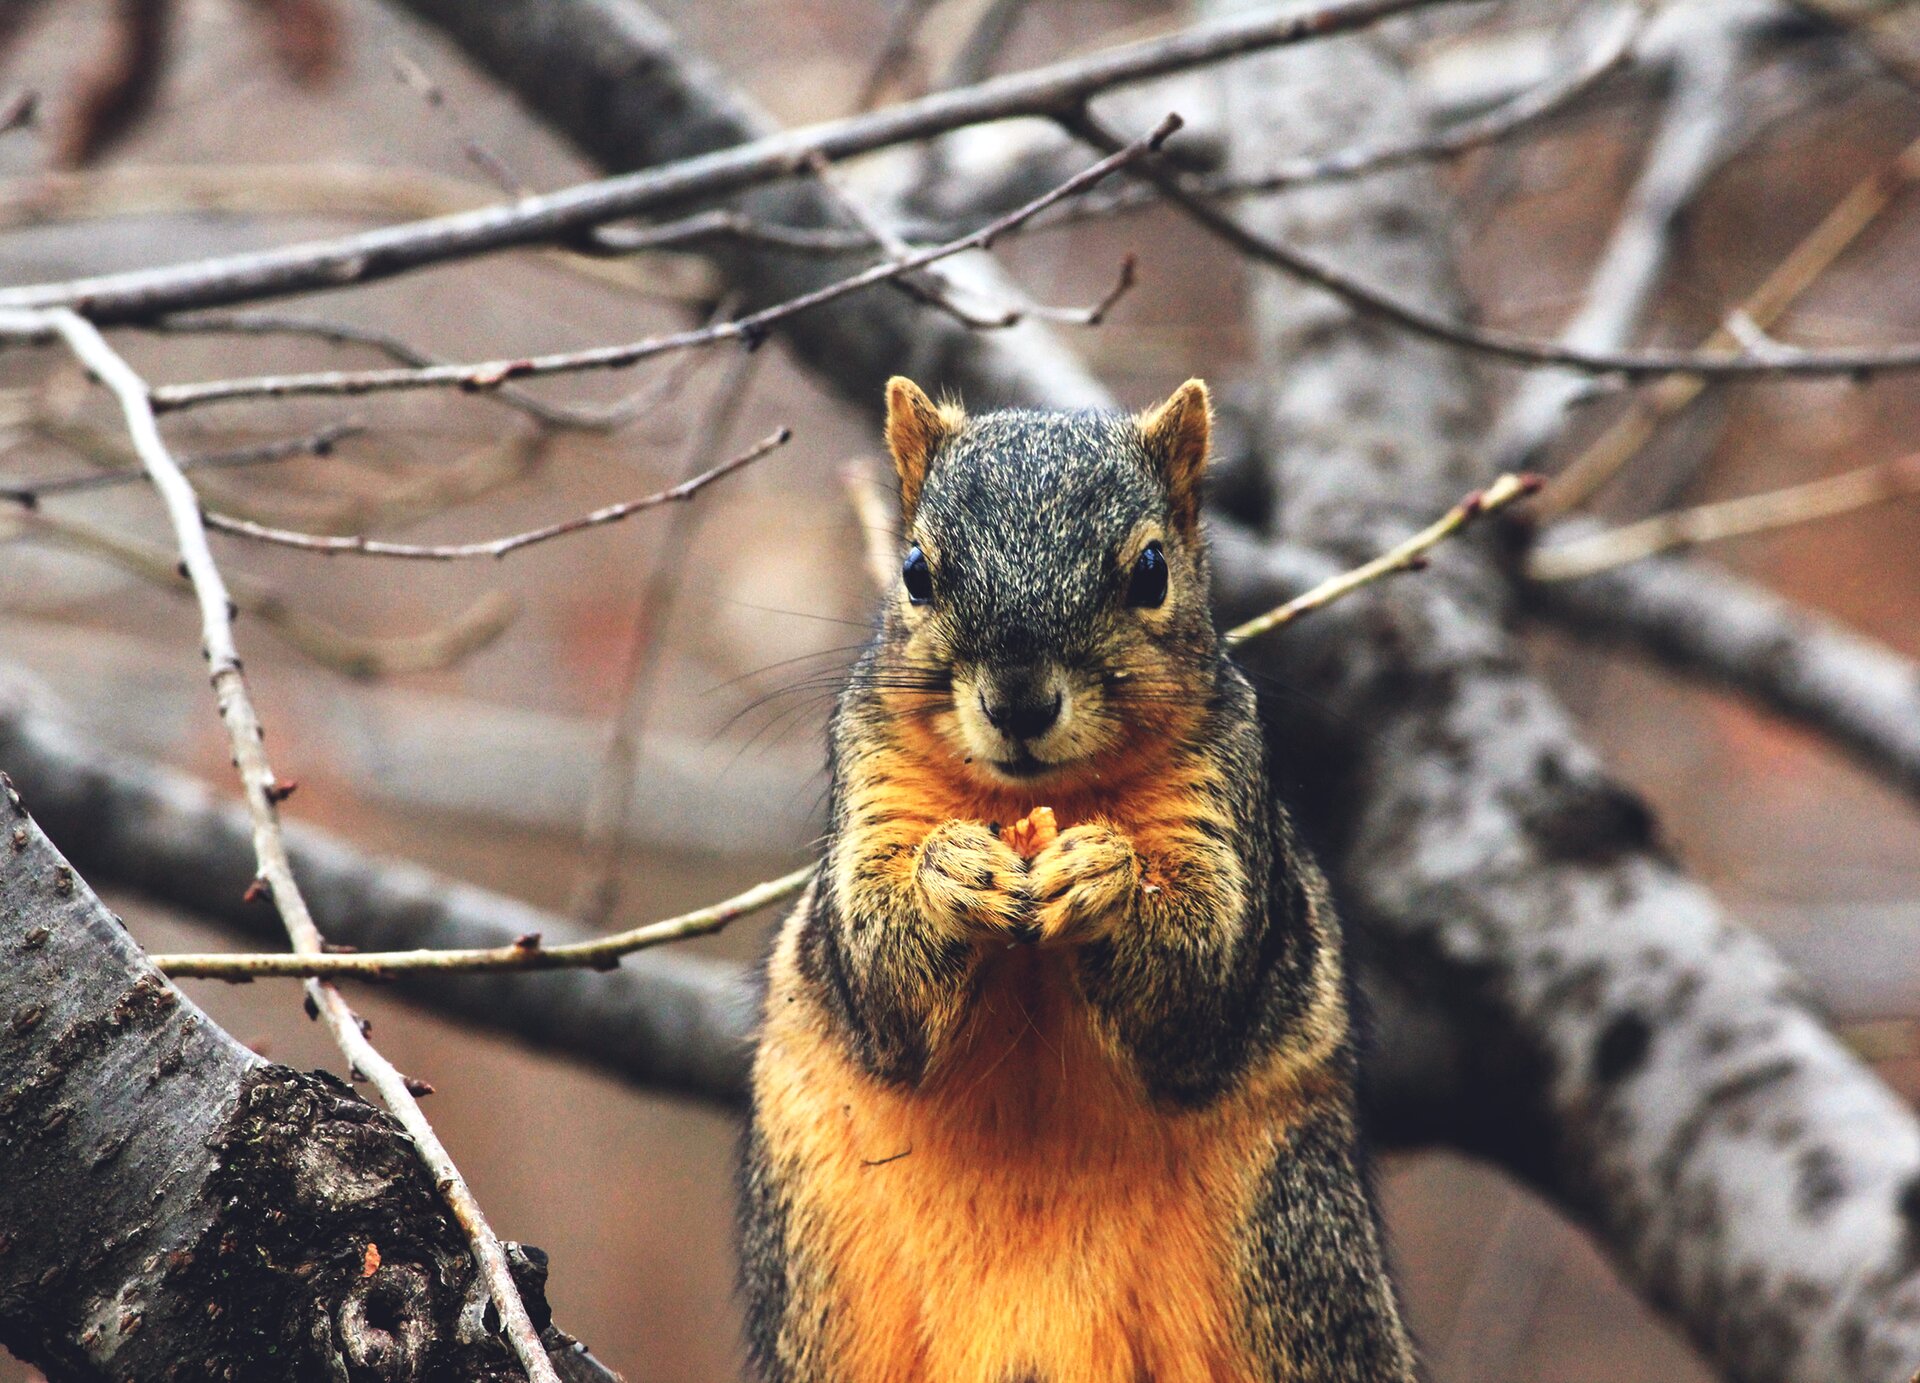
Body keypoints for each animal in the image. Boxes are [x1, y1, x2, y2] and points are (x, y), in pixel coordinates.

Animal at [741, 378, 1420, 1383]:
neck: (1040, 798)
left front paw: (1105, 876)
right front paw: (953, 873)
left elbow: (1202, 979)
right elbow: (877, 972)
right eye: (916, 570)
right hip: (817, 1281)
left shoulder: (1223, 796)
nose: (1019, 700)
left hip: (1291, 1255)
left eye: (1151, 571)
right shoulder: (871, 784)